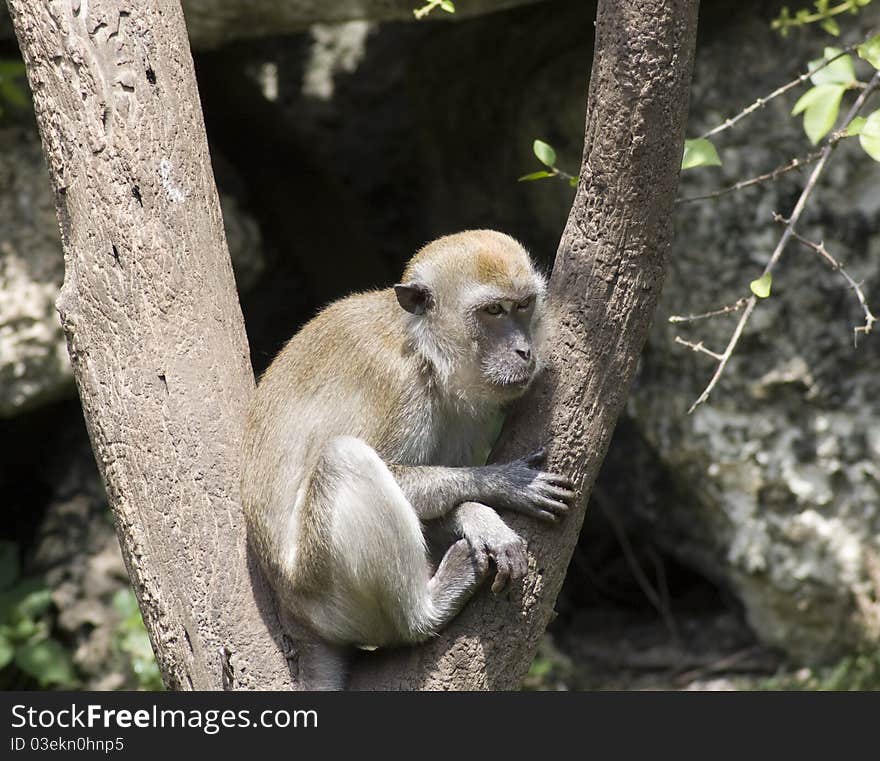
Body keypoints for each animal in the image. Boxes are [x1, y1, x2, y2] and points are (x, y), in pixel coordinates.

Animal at [241, 229, 576, 684]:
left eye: (523, 305)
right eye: (493, 310)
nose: (525, 351)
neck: (425, 352)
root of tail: (296, 616)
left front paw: (473, 515)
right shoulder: (397, 385)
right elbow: (393, 471)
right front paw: (503, 485)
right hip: (322, 588)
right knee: (344, 458)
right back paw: (425, 612)